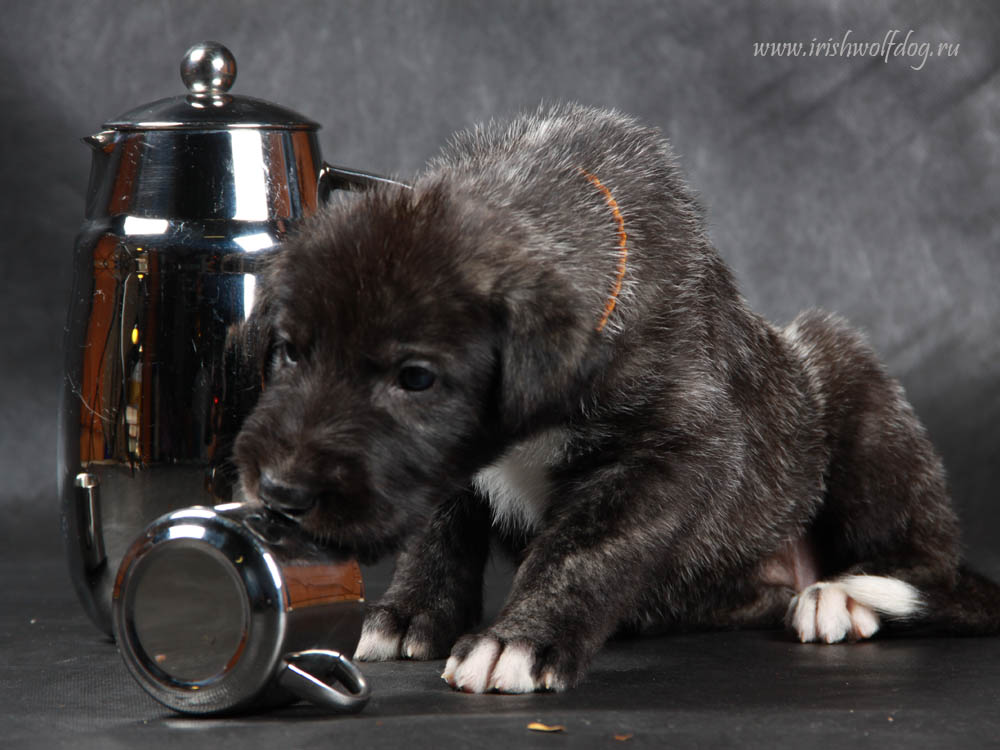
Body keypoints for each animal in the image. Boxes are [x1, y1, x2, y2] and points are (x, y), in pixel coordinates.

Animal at [232, 104, 992, 692]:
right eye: (291, 351)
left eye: (415, 378)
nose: (281, 492)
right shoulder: (450, 469)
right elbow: (438, 525)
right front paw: (411, 613)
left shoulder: (673, 447)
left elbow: (584, 549)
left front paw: (519, 641)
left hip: (856, 393)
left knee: (932, 561)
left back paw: (846, 594)